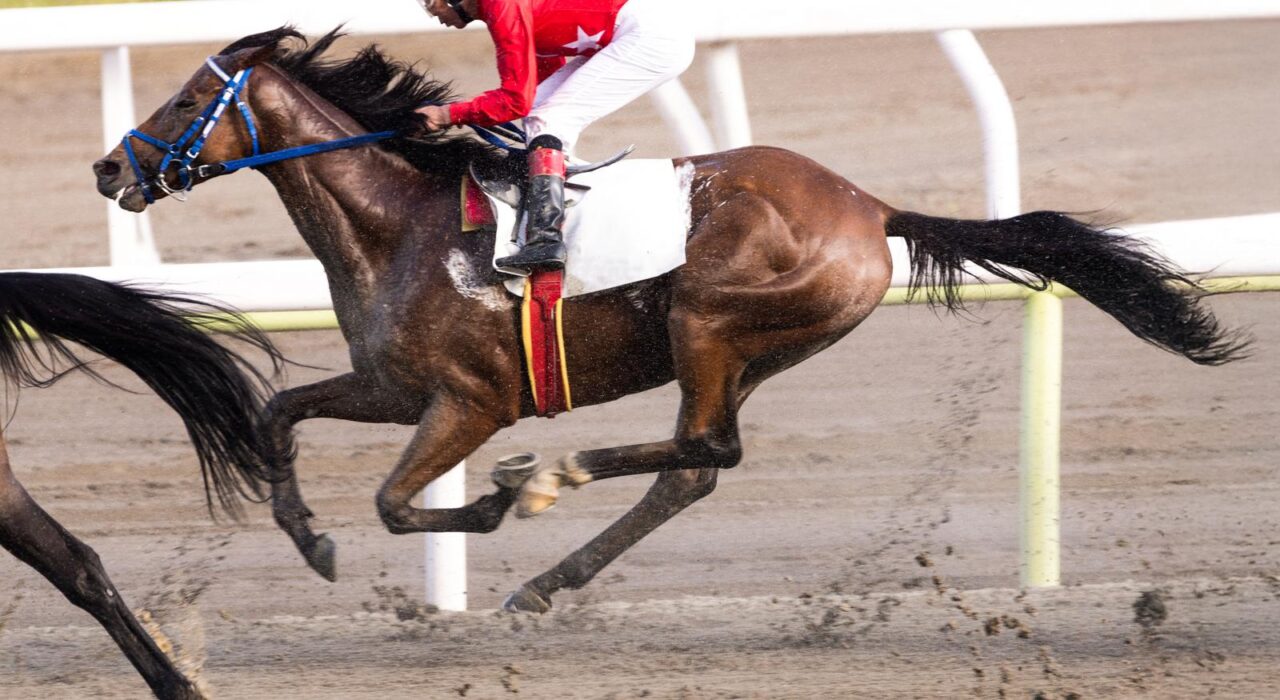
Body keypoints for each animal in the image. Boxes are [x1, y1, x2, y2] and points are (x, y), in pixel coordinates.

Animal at [92, 28, 1247, 613]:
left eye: (187, 98)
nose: (109, 168)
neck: (399, 224)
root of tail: (871, 206)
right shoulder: (391, 385)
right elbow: (280, 414)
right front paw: (310, 540)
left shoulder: (470, 402)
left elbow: (394, 501)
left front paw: (481, 514)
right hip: (750, 346)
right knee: (697, 463)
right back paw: (551, 568)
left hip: (707, 316)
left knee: (700, 449)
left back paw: (547, 485)